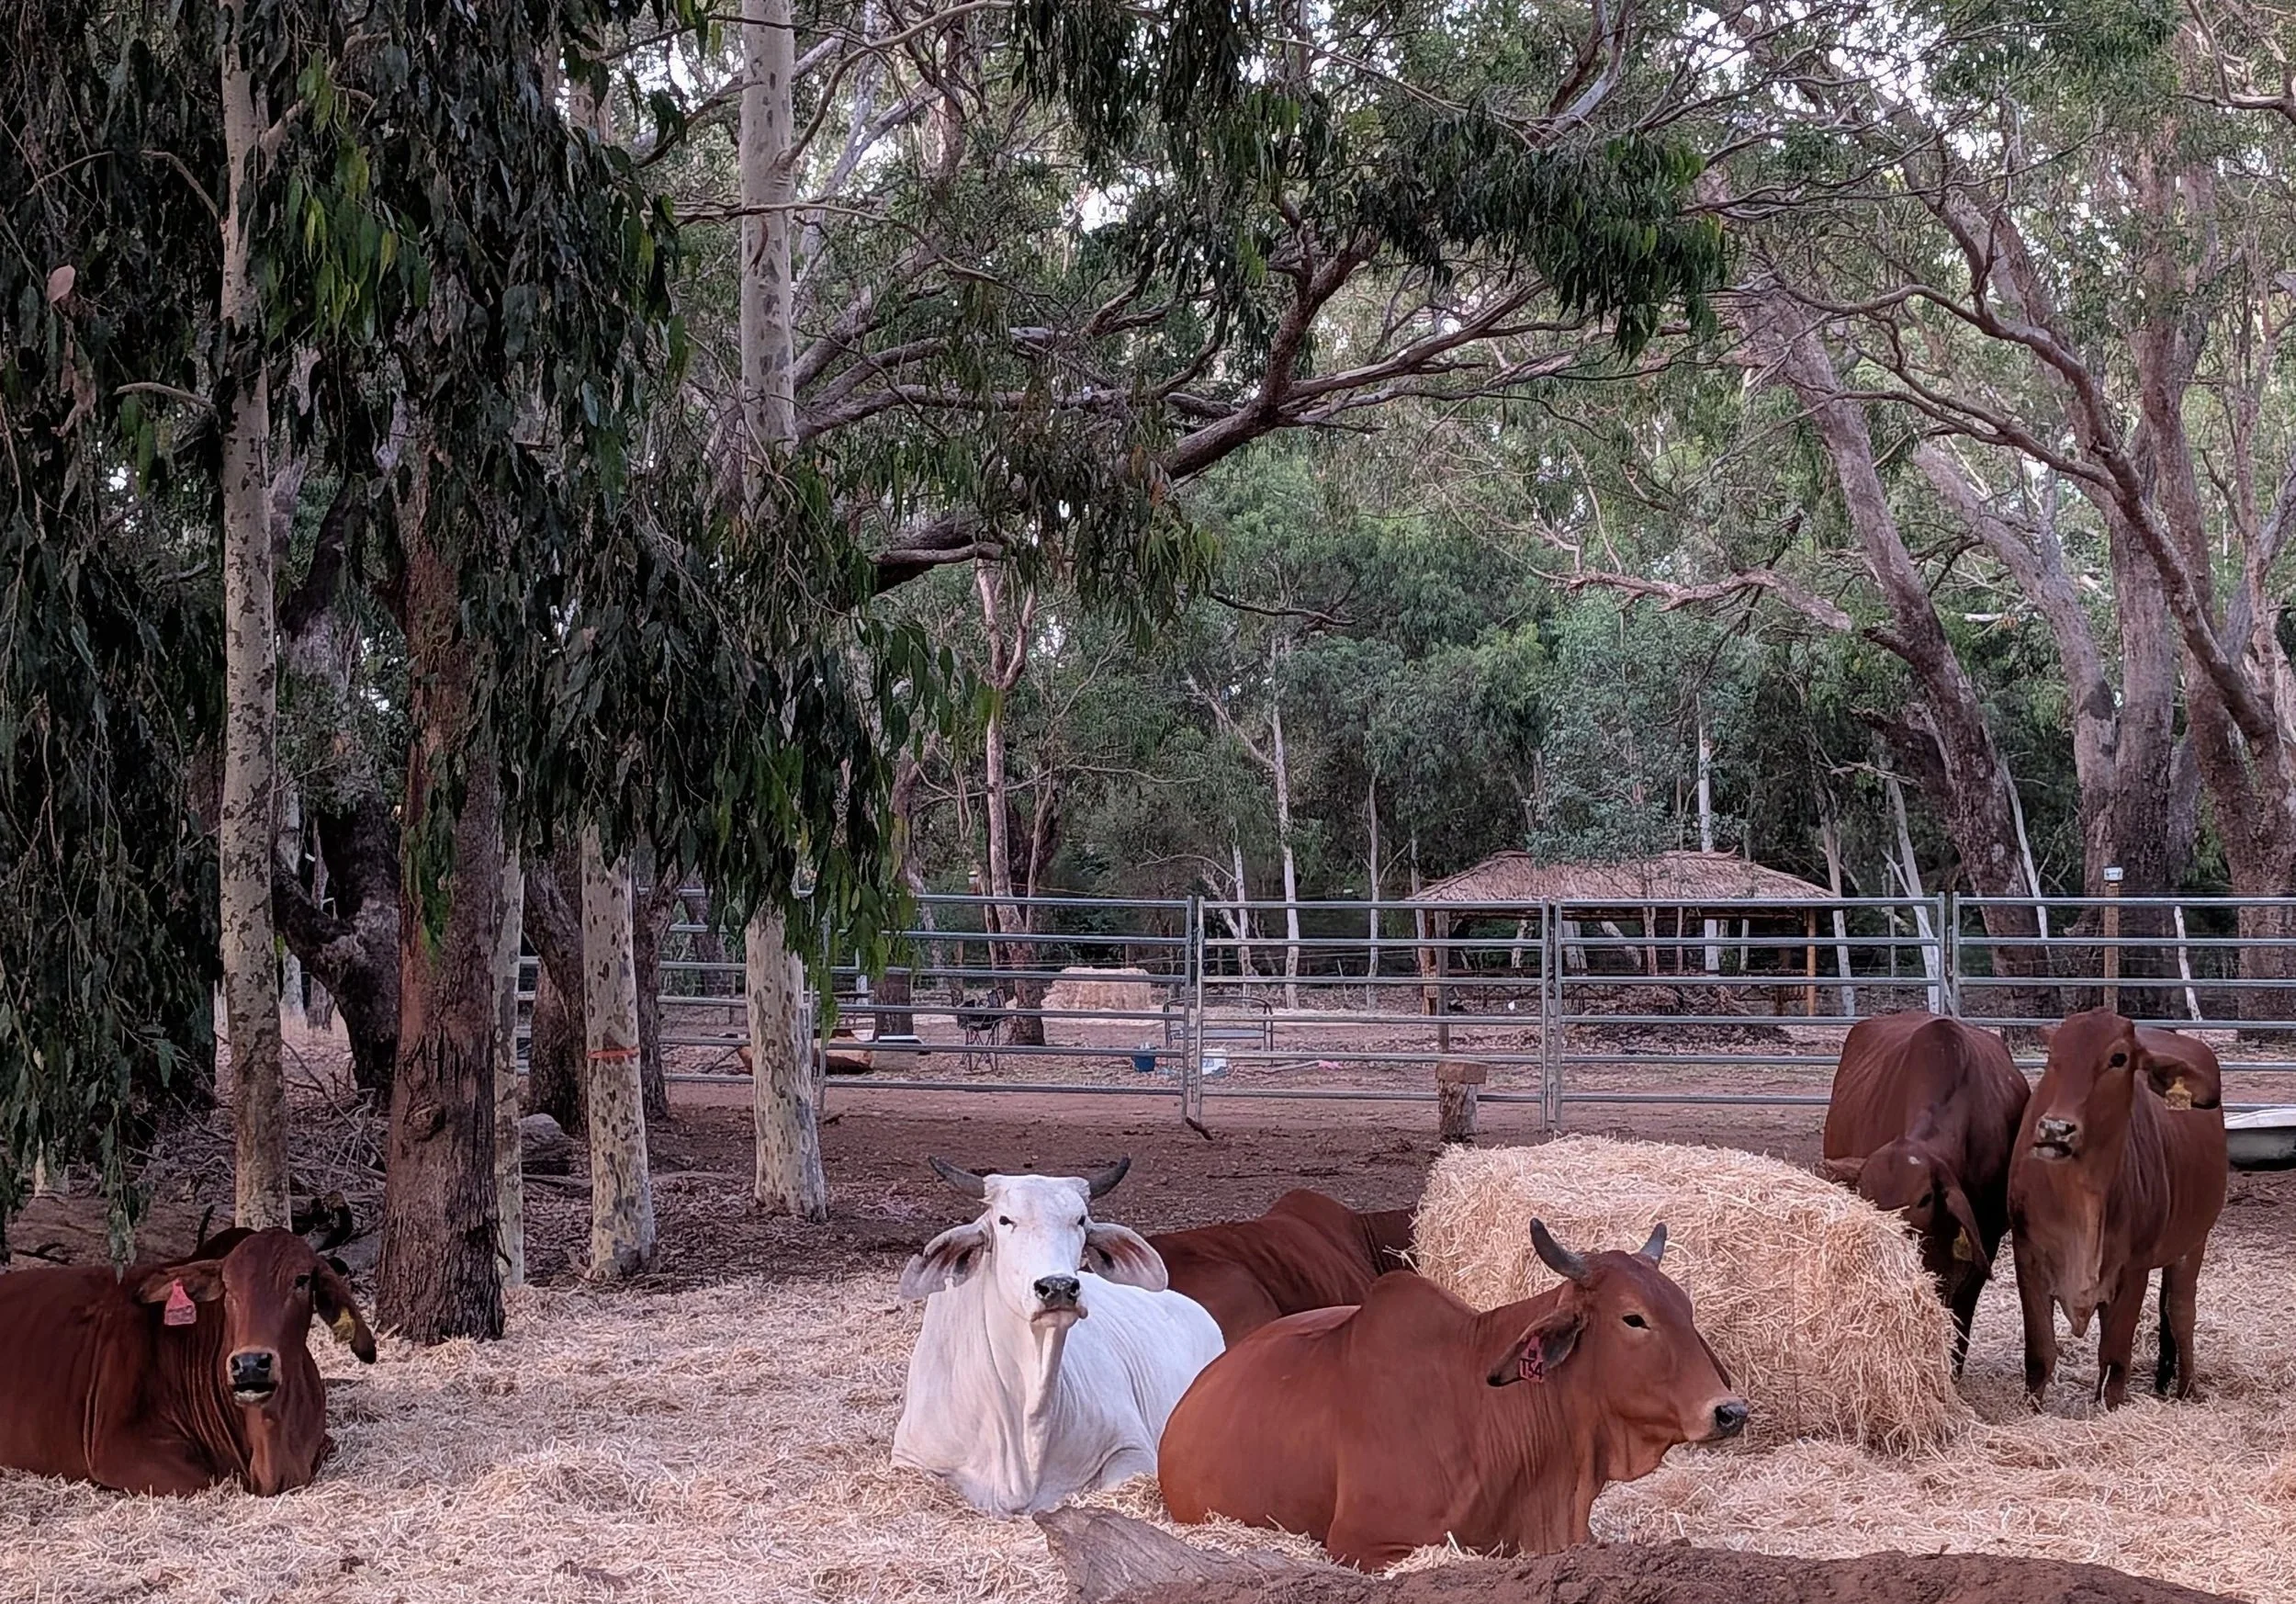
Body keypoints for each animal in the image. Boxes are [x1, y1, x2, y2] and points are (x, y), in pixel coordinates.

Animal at [2009, 1009, 2227, 1409]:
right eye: (2052, 1054)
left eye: (2118, 1058)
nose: (2055, 1129)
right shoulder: (2027, 1257)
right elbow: (2040, 1355)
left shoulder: (2134, 1269)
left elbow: (2114, 1358)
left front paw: (2108, 1408)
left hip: (2194, 1242)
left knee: (2181, 1312)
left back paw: (2188, 1389)